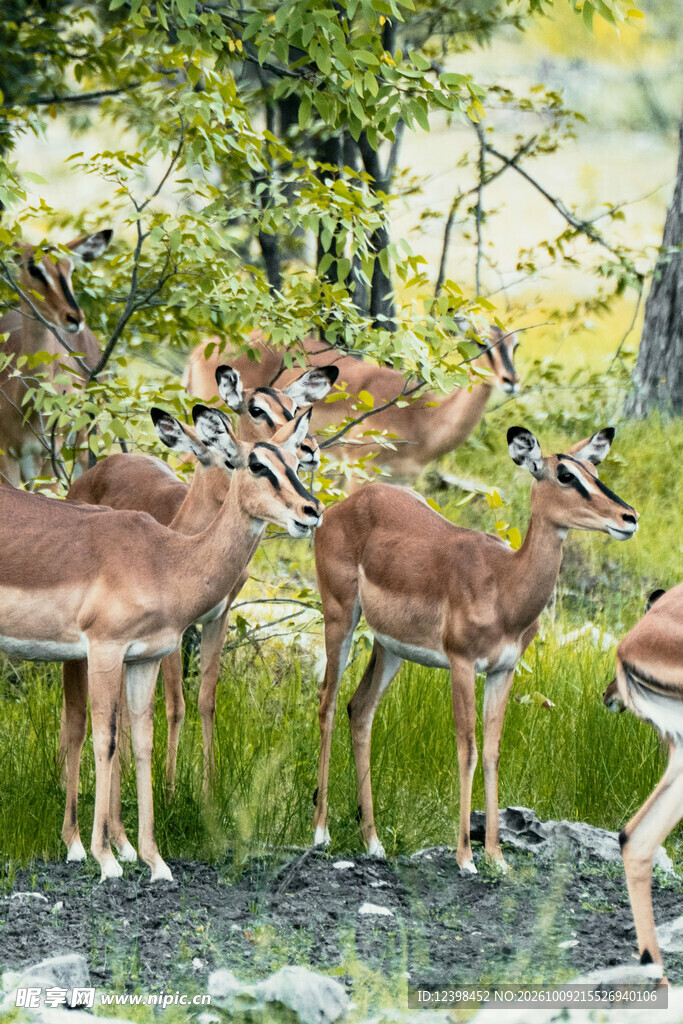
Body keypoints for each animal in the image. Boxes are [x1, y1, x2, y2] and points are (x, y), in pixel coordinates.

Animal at [0, 230, 113, 487]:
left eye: (70, 268)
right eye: (34, 268)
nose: (74, 317)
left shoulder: (47, 455)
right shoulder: (7, 456)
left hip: (83, 444)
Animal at [0, 406, 322, 881]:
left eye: (296, 462)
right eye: (255, 464)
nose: (311, 510)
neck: (165, 561)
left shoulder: (144, 660)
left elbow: (142, 743)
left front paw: (153, 860)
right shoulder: (106, 649)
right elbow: (106, 740)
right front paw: (107, 859)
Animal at [60, 363, 338, 801]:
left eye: (294, 406)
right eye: (256, 409)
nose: (308, 448)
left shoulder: (216, 618)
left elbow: (207, 698)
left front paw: (209, 787)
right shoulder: (175, 630)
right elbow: (176, 704)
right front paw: (171, 787)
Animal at [183, 326, 520, 484]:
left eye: (514, 344)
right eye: (480, 342)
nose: (512, 379)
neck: (422, 418)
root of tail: (200, 349)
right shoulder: (361, 472)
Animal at [311, 425, 639, 871]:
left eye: (595, 470)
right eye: (566, 475)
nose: (629, 518)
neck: (504, 584)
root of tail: (337, 509)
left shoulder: (502, 670)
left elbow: (492, 752)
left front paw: (498, 857)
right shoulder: (462, 663)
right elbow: (466, 747)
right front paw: (466, 856)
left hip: (389, 647)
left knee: (360, 709)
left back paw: (374, 843)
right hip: (340, 618)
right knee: (327, 702)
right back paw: (320, 833)